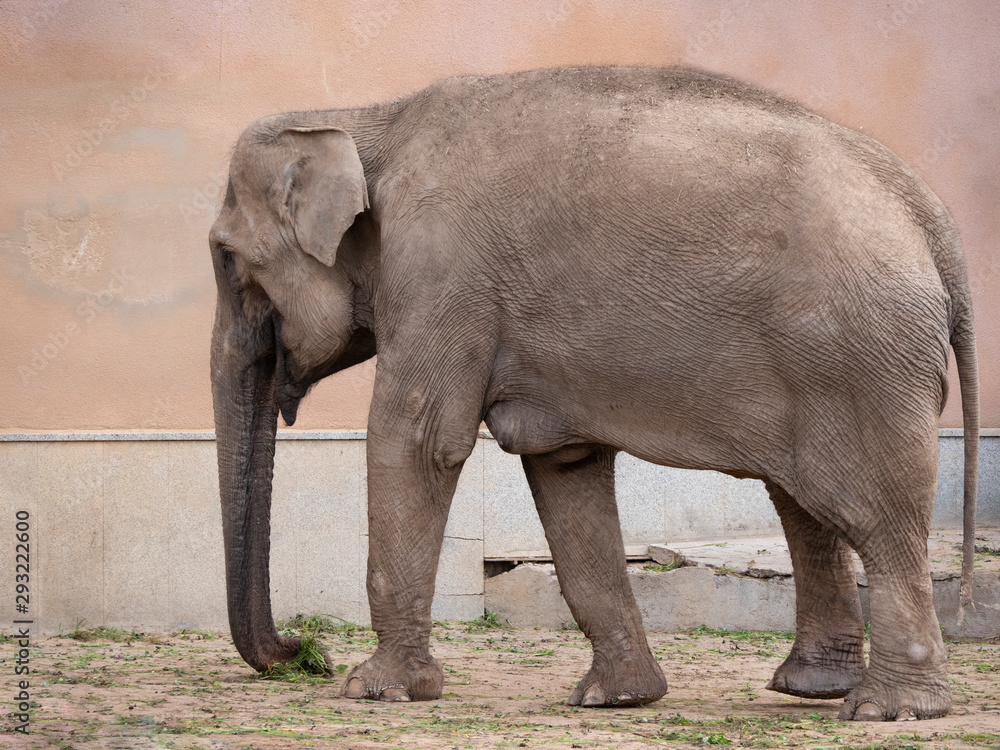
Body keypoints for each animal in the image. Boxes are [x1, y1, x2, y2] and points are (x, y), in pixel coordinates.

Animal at [209, 66, 979, 721]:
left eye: (224, 255)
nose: (301, 652)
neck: (369, 117)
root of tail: (935, 223)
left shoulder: (441, 273)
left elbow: (420, 440)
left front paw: (374, 690)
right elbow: (565, 468)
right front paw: (617, 699)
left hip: (861, 360)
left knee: (871, 512)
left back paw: (889, 709)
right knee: (804, 501)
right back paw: (813, 688)